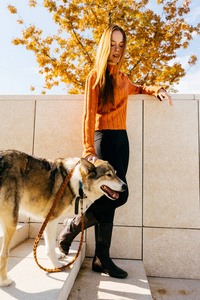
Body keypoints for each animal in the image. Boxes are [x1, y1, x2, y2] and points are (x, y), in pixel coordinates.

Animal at [0, 150, 126, 286]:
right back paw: (5, 281)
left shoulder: (48, 219)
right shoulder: (52, 218)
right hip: (12, 220)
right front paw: (57, 265)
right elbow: (50, 247)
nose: (125, 186)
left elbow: (51, 243)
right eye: (108, 175)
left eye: (116, 174)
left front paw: (58, 255)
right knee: (4, 254)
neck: (79, 182)